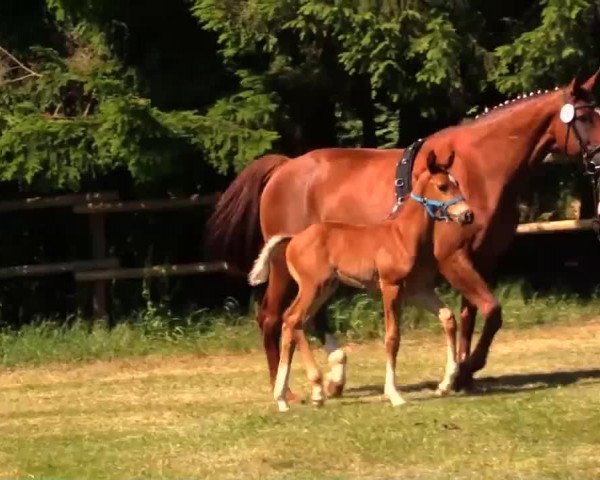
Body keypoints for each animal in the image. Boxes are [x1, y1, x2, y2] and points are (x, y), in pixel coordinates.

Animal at [248, 151, 474, 412]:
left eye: (457, 182)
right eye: (442, 186)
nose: (468, 215)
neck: (402, 235)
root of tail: (294, 238)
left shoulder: (418, 290)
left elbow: (447, 317)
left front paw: (445, 385)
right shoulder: (390, 286)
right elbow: (392, 338)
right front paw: (394, 394)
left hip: (325, 288)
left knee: (295, 322)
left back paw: (307, 393)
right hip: (311, 287)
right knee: (292, 319)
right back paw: (287, 397)